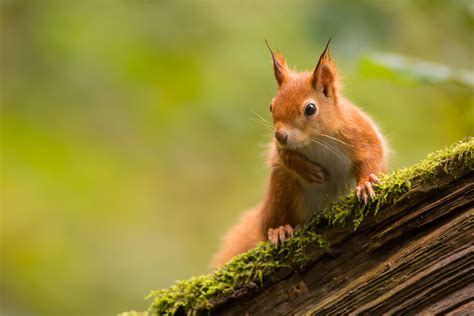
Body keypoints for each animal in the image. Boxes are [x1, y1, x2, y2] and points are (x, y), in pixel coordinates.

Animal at [213, 39, 386, 266]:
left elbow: (372, 153)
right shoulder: (282, 150)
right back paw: (279, 229)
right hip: (282, 190)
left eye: (310, 109)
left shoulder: (358, 131)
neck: (316, 139)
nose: (280, 135)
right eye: (271, 106)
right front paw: (309, 171)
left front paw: (366, 184)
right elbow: (286, 158)